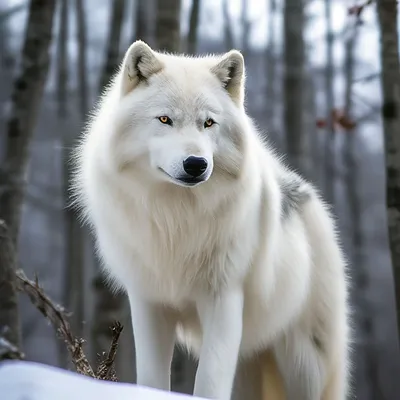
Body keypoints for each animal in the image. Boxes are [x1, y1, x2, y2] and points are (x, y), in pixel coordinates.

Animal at [72, 40, 350, 400]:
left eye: (208, 123)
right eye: (165, 119)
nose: (196, 164)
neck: (175, 220)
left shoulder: (224, 299)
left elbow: (209, 381)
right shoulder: (148, 300)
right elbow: (151, 377)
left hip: (304, 363)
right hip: (252, 362)